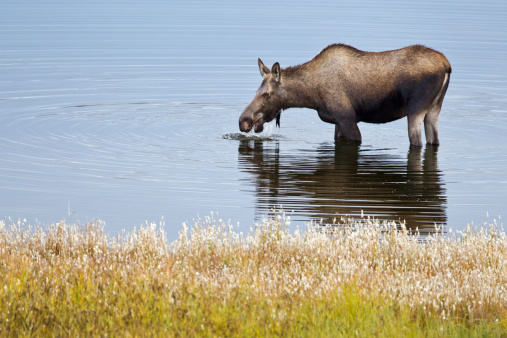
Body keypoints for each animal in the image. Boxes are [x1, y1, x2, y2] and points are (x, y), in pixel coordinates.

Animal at [238, 44, 452, 147]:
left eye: (266, 93)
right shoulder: (337, 121)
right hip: (434, 109)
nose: (244, 121)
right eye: (256, 91)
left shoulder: (347, 118)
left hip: (415, 109)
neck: (311, 96)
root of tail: (446, 65)